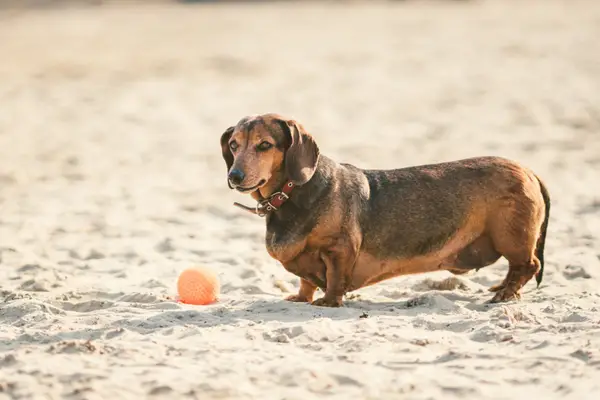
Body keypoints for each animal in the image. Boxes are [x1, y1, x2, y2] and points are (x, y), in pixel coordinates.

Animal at [218, 112, 552, 306]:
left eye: (264, 145)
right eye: (233, 145)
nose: (234, 177)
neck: (292, 193)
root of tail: (529, 171)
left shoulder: (339, 249)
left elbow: (334, 279)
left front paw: (328, 302)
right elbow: (305, 281)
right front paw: (301, 297)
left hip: (511, 237)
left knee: (528, 265)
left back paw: (506, 294)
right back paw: (502, 287)